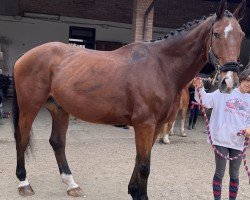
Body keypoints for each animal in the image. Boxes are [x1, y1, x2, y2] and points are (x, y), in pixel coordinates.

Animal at [12, 0, 245, 199]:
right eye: (216, 34)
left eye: (242, 35)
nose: (229, 82)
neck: (161, 66)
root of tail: (25, 56)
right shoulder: (145, 125)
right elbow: (144, 165)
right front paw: (140, 195)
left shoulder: (154, 126)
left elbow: (140, 159)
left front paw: (133, 191)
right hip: (29, 106)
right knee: (21, 138)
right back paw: (24, 183)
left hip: (59, 109)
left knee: (57, 142)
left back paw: (71, 184)